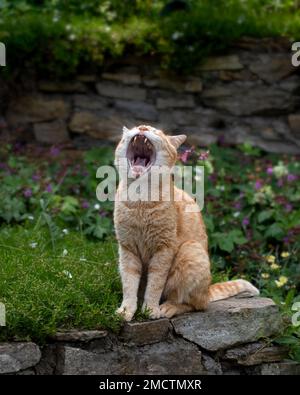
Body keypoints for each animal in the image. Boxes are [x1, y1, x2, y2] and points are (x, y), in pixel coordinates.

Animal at [113, 126, 258, 322]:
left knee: (194, 304)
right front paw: (127, 310)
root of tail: (207, 291)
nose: (143, 128)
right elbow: (129, 285)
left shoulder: (163, 249)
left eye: (155, 131)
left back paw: (168, 307)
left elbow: (155, 285)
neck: (140, 200)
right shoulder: (127, 249)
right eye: (137, 127)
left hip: (190, 250)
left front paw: (150, 309)